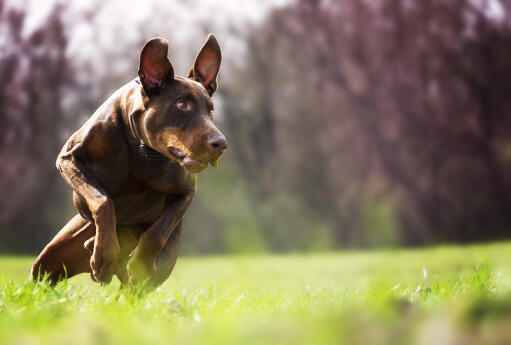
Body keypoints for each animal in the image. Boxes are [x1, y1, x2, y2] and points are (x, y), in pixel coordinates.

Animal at [30, 34, 226, 288]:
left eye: (210, 111)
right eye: (182, 104)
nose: (220, 144)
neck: (141, 148)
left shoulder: (185, 191)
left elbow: (157, 232)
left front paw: (140, 261)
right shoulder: (69, 159)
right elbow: (103, 200)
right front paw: (104, 255)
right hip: (47, 264)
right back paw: (99, 249)